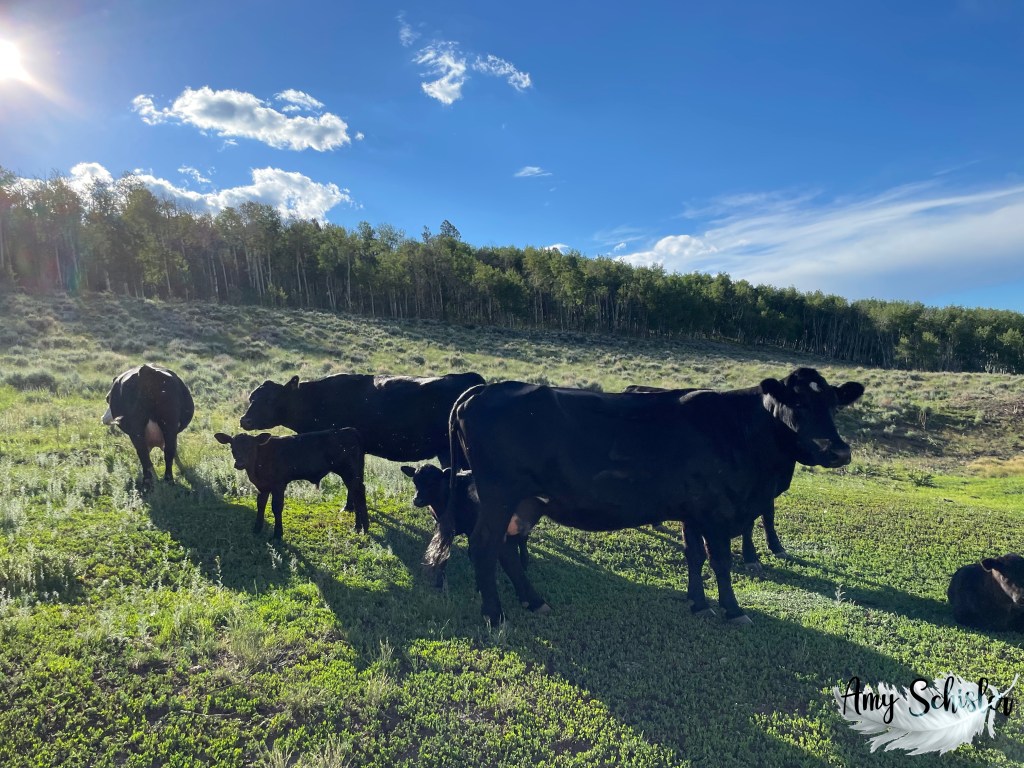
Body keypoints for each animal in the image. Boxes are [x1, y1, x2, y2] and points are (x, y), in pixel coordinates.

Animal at [214, 428, 368, 537]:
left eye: (251, 448)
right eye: (232, 448)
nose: (240, 464)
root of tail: (349, 430)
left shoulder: (278, 485)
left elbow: (276, 507)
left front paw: (277, 534)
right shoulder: (263, 486)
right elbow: (260, 505)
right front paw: (257, 529)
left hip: (349, 472)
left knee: (359, 493)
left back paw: (363, 528)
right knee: (357, 493)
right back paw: (359, 526)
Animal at [400, 463, 531, 592]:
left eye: (433, 482)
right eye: (415, 482)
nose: (417, 500)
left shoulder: (472, 529)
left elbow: (473, 553)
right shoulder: (443, 526)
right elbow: (444, 554)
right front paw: (439, 583)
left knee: (523, 539)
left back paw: (524, 563)